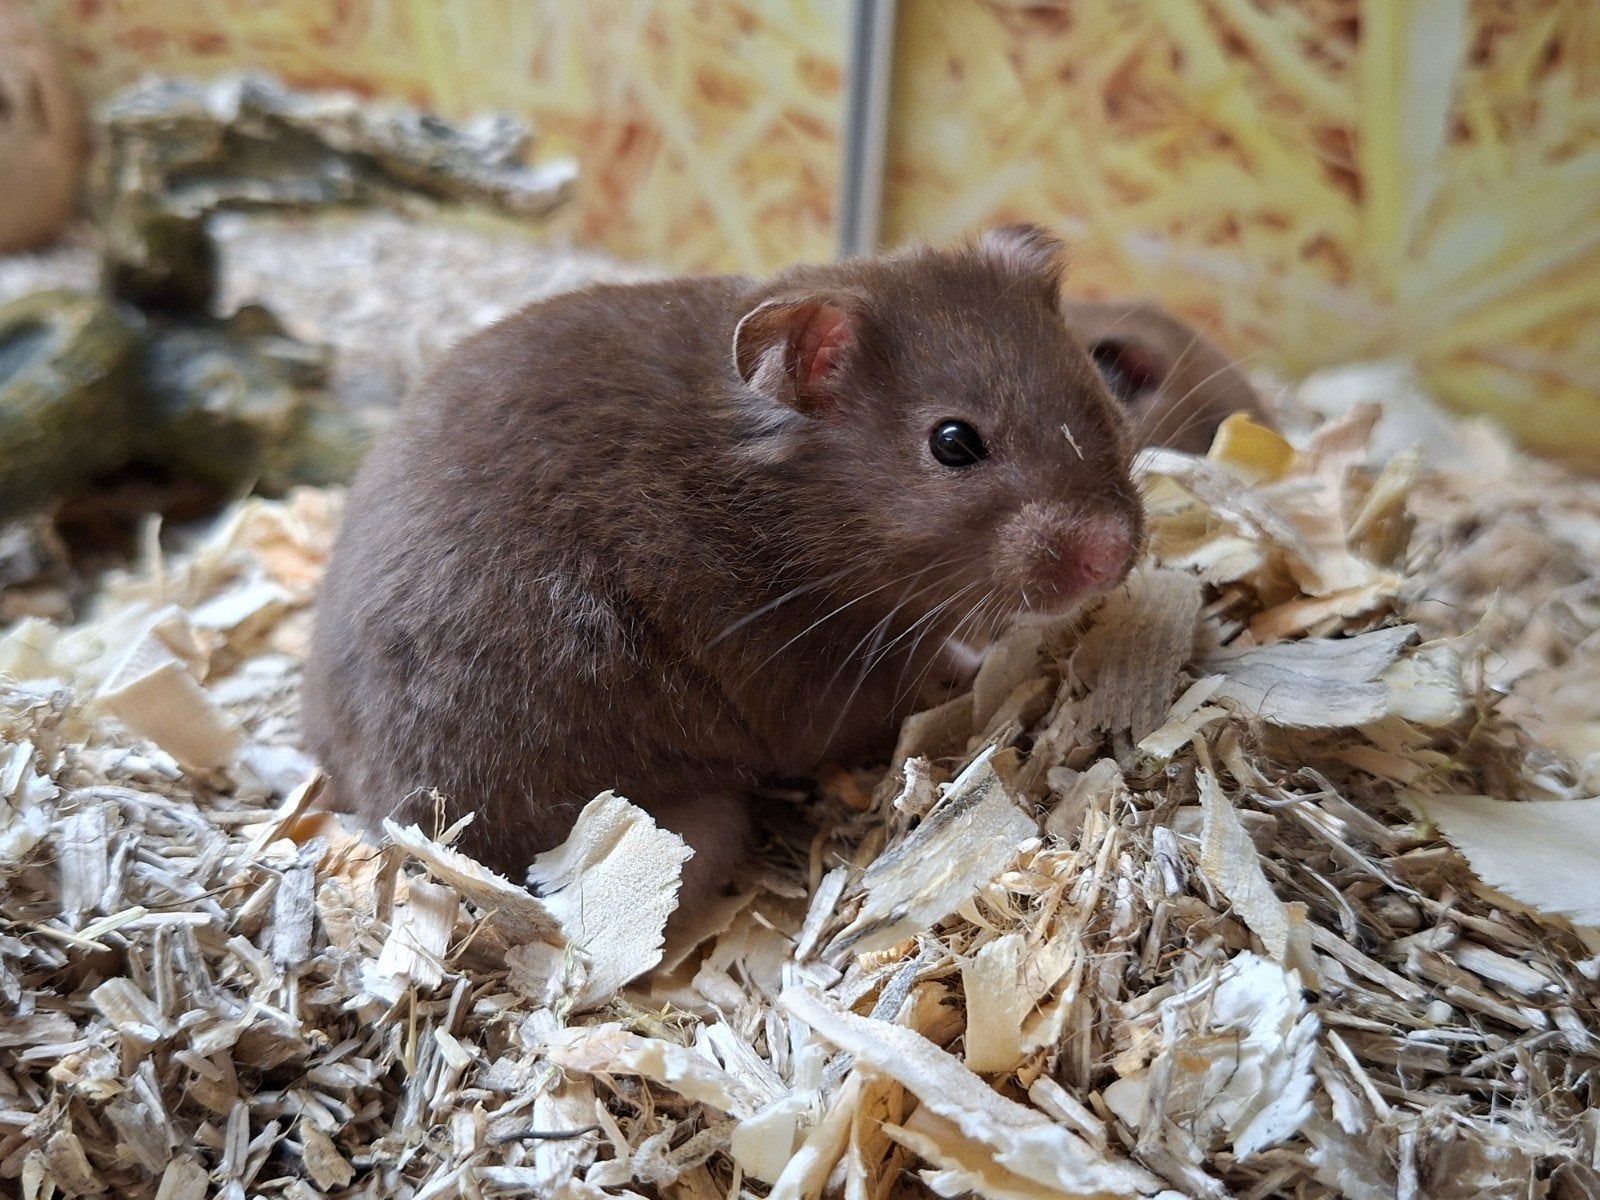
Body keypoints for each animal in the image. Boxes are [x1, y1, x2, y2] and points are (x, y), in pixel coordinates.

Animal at [301, 225, 1144, 909]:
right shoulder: (815, 683)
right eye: (953, 443)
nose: (1110, 557)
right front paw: (986, 678)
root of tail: (390, 825)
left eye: (1100, 392)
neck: (784, 513)